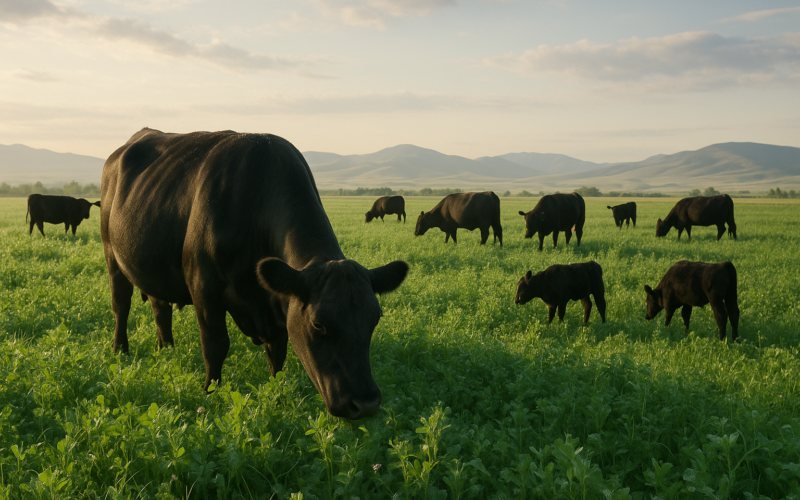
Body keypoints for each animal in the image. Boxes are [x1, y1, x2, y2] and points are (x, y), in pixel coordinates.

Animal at [101, 128, 409, 419]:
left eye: (375, 319)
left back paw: (167, 349)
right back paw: (120, 351)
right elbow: (215, 345)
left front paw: (276, 389)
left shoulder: (277, 305)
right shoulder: (202, 284)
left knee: (160, 308)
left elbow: (278, 350)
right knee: (121, 305)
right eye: (319, 324)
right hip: (111, 254)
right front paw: (210, 393)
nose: (366, 404)